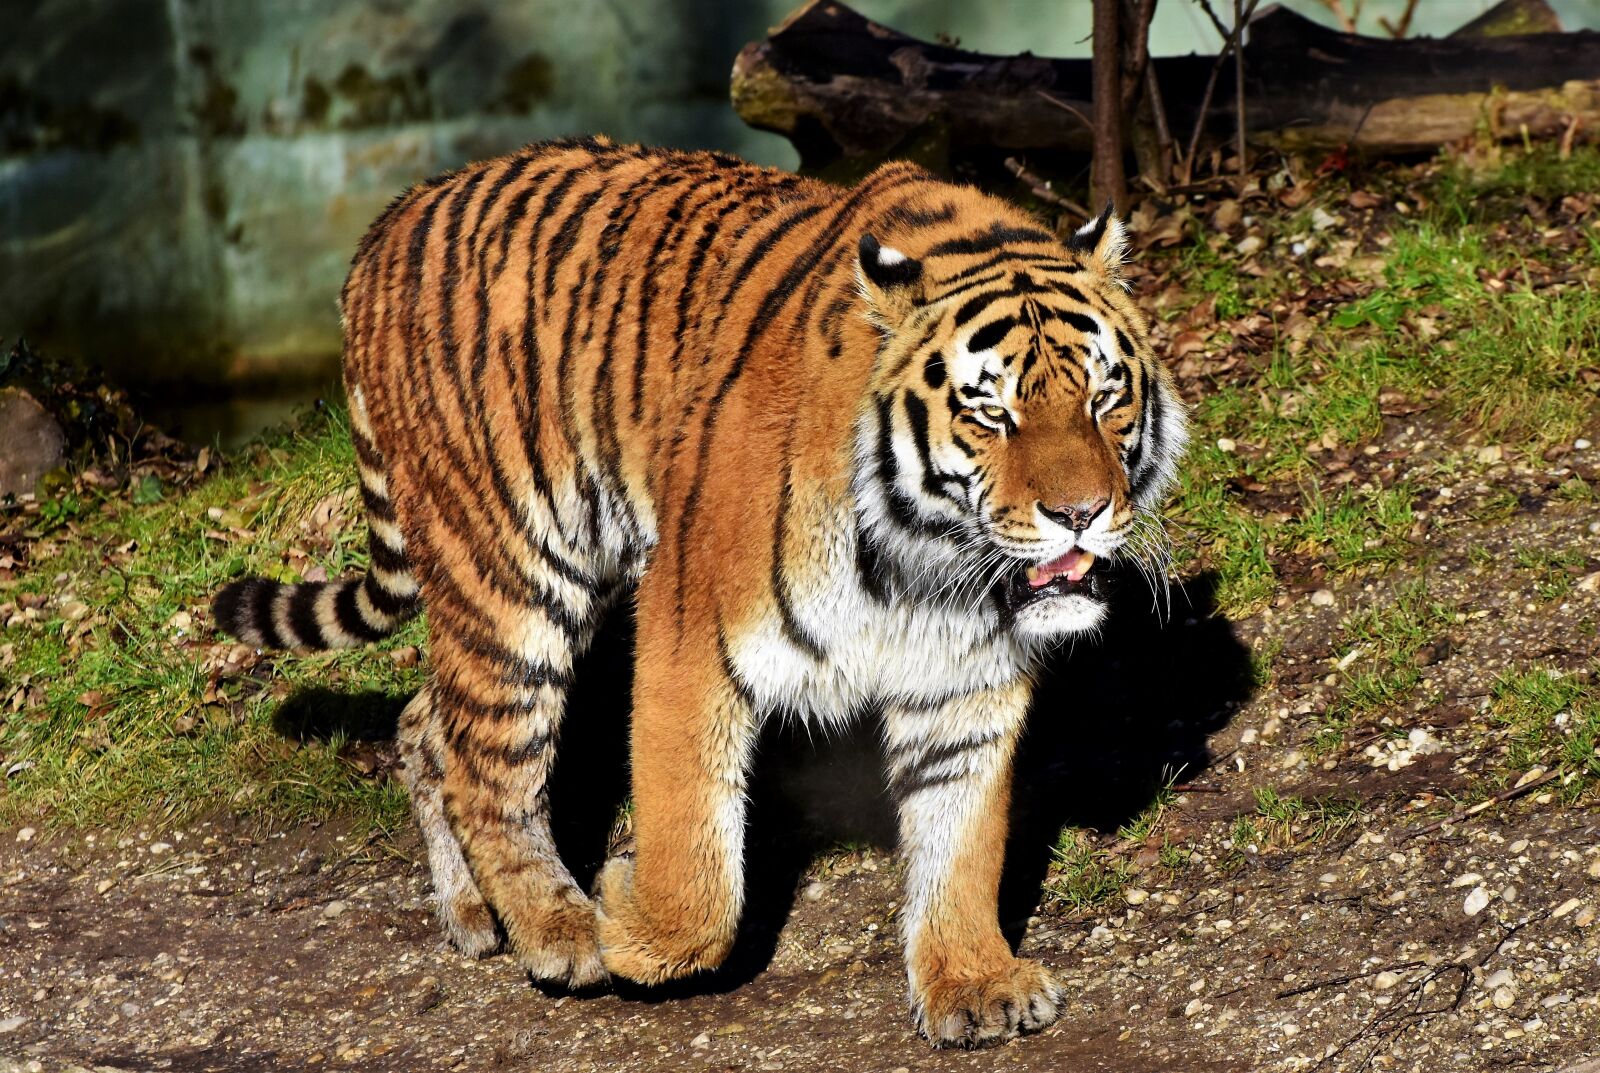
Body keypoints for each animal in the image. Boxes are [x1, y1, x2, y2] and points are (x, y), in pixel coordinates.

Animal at [211, 136, 1187, 1048]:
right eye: (992, 413)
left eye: (1105, 396)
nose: (1080, 513)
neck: (926, 558)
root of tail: (391, 220)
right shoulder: (691, 629)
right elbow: (697, 865)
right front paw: (626, 918)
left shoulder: (964, 678)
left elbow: (962, 839)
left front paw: (972, 980)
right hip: (513, 574)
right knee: (488, 764)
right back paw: (558, 928)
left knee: (427, 723)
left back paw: (473, 911)